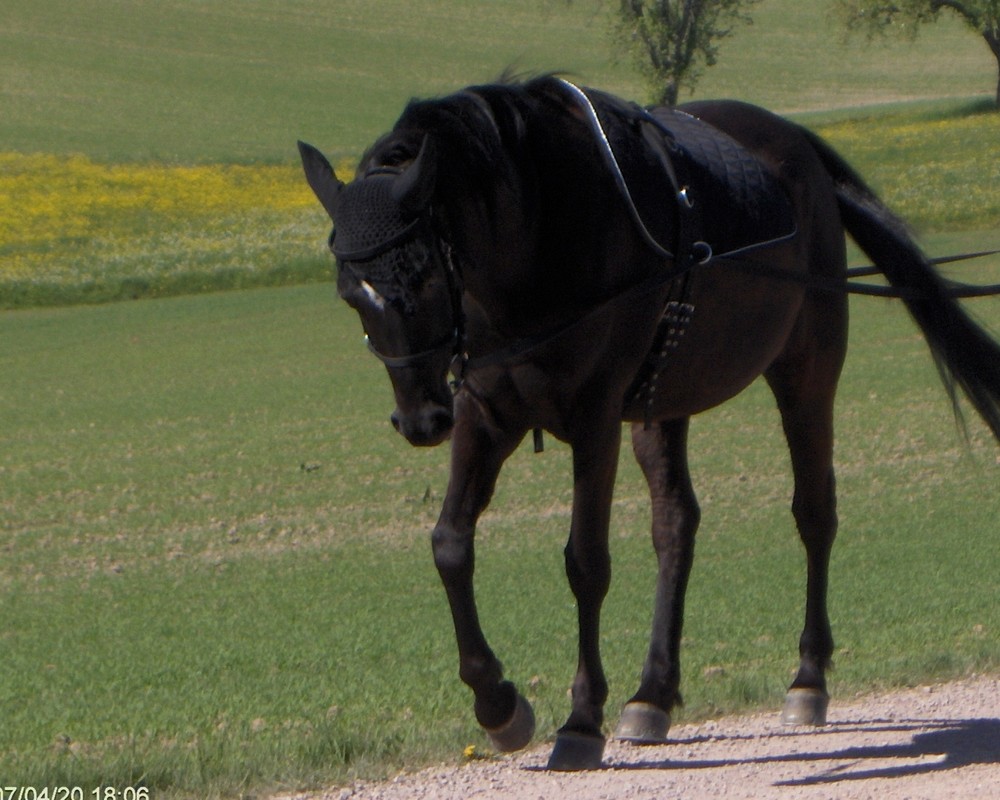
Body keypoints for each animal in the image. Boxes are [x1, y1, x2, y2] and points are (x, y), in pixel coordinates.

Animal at [300, 76, 1000, 768]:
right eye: (350, 293)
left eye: (420, 276)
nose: (420, 418)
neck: (539, 229)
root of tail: (796, 143)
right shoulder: (483, 415)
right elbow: (450, 545)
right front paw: (497, 703)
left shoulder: (594, 418)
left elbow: (585, 562)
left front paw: (581, 719)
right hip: (664, 398)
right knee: (676, 524)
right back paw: (653, 693)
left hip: (807, 372)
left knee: (814, 513)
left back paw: (807, 679)